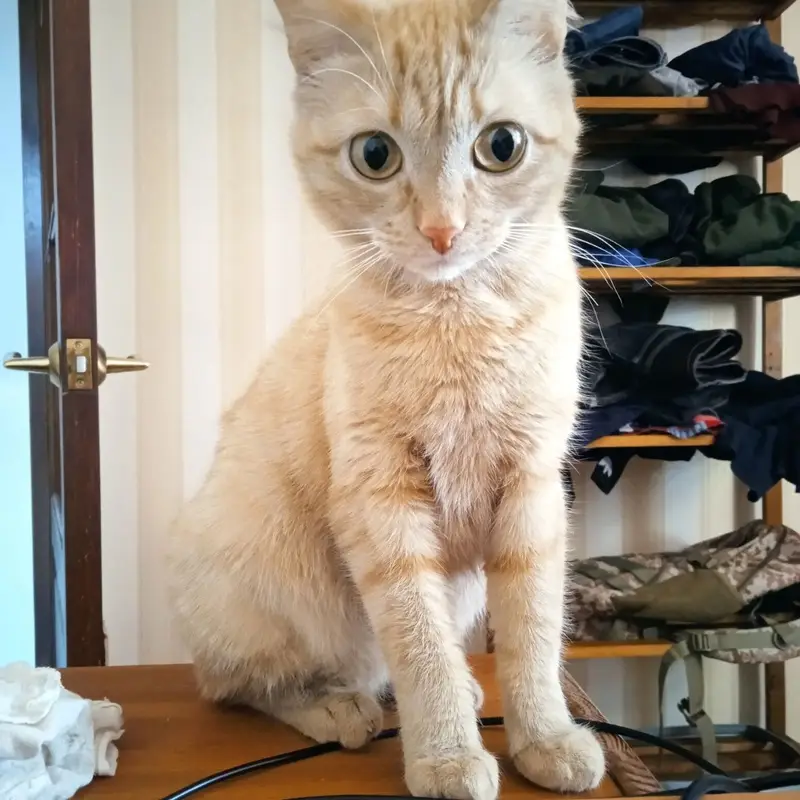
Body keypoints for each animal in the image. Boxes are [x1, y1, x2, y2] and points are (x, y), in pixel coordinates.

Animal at [168, 1, 604, 798]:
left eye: (501, 146)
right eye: (376, 155)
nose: (442, 229)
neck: (457, 319)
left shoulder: (531, 488)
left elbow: (531, 634)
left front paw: (546, 737)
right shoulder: (380, 497)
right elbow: (416, 637)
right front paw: (446, 754)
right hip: (267, 581)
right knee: (243, 682)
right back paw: (338, 706)